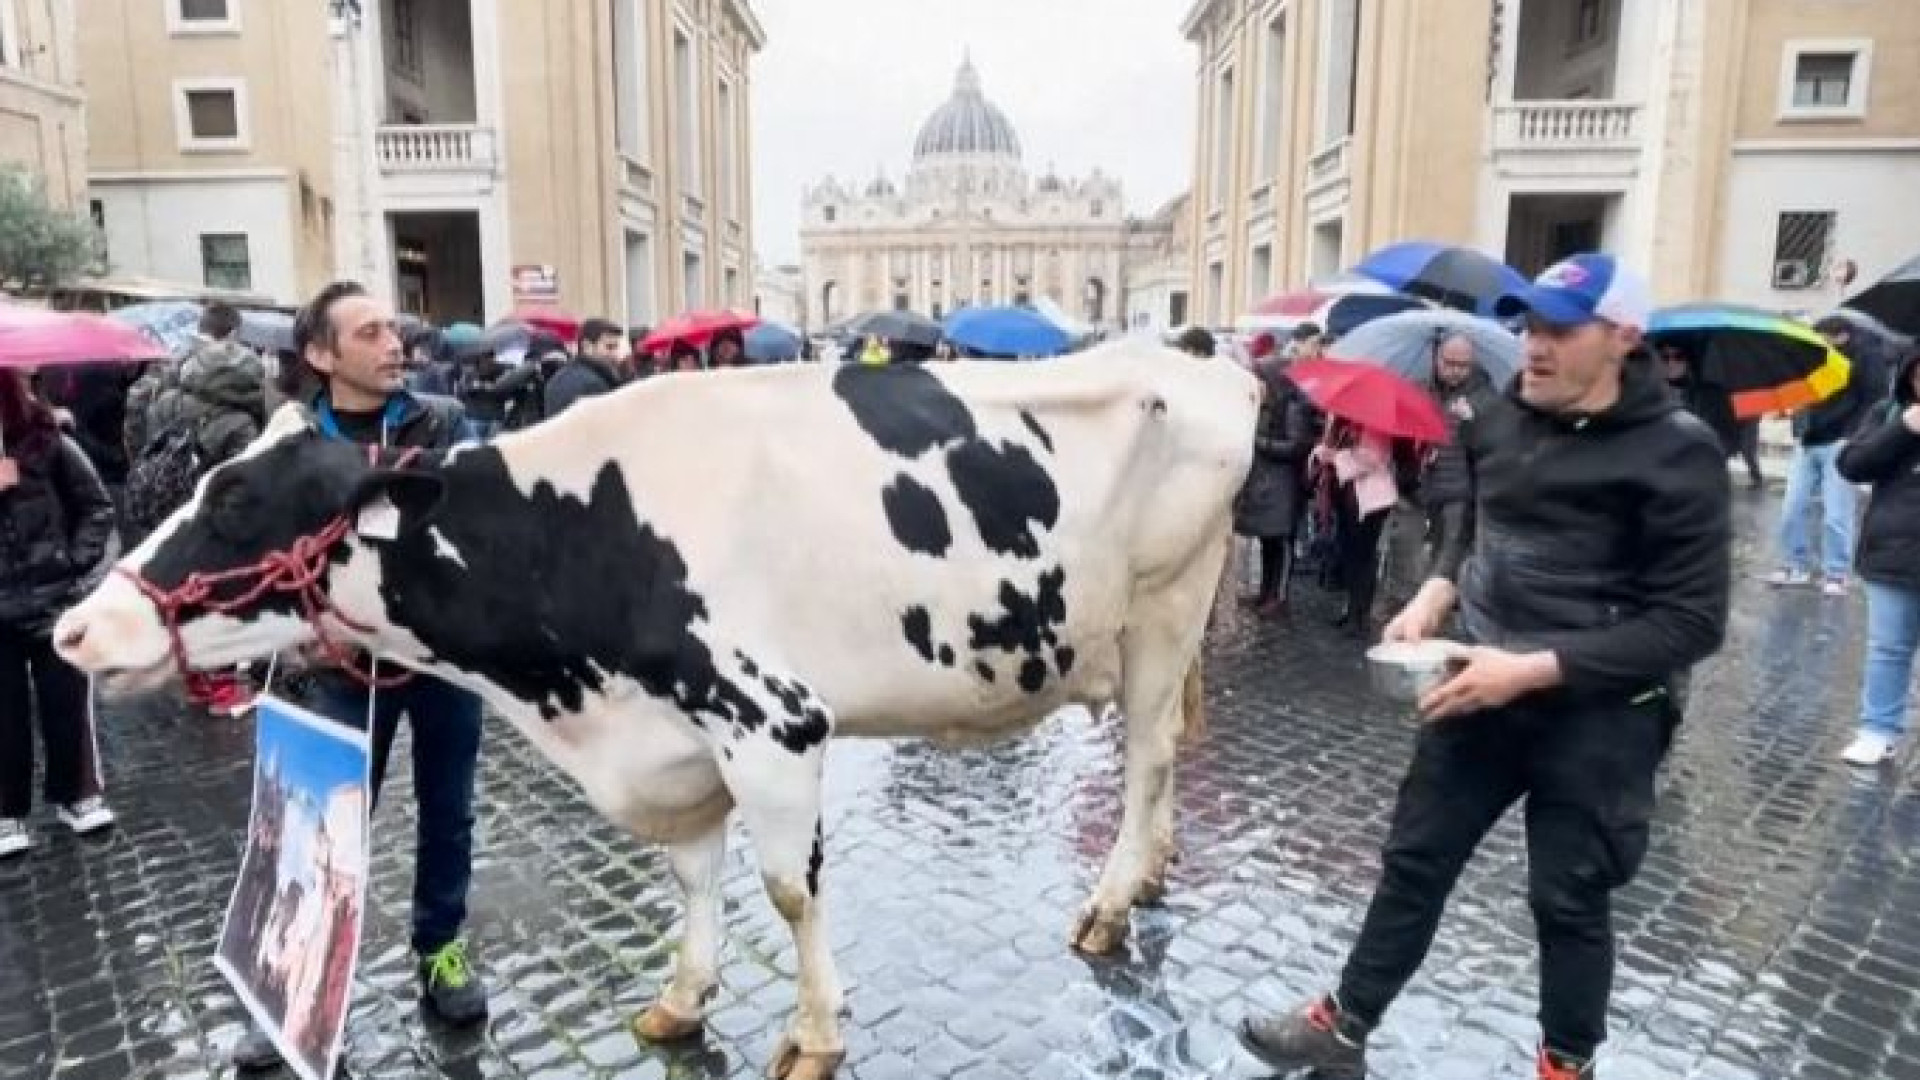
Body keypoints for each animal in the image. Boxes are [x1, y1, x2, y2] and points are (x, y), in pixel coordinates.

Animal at [52, 342, 1259, 1076]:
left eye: (235, 499)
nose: (75, 630)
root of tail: (1197, 358)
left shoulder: (773, 724)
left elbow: (787, 891)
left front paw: (814, 1035)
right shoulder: (672, 746)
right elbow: (692, 876)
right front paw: (683, 998)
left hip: (1164, 614)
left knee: (1149, 760)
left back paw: (1111, 905)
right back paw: (1149, 881)